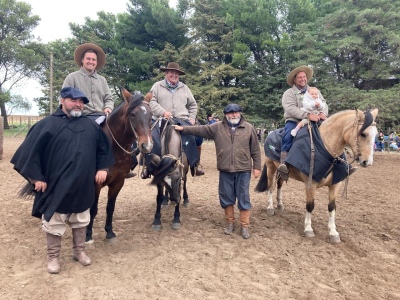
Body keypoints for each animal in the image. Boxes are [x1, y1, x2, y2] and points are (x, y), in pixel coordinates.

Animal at [86, 88, 153, 241]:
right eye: (132, 114)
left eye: (151, 115)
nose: (147, 145)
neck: (112, 149)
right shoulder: (96, 183)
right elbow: (93, 209)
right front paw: (88, 235)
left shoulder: (118, 182)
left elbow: (110, 207)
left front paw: (109, 232)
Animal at [256, 109, 378, 243]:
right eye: (363, 134)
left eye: (376, 134)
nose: (367, 162)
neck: (326, 148)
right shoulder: (310, 184)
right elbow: (310, 205)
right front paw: (308, 229)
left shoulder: (336, 184)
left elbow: (332, 207)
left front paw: (333, 232)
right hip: (270, 167)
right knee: (270, 187)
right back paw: (270, 207)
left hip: (282, 172)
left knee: (279, 185)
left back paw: (280, 204)